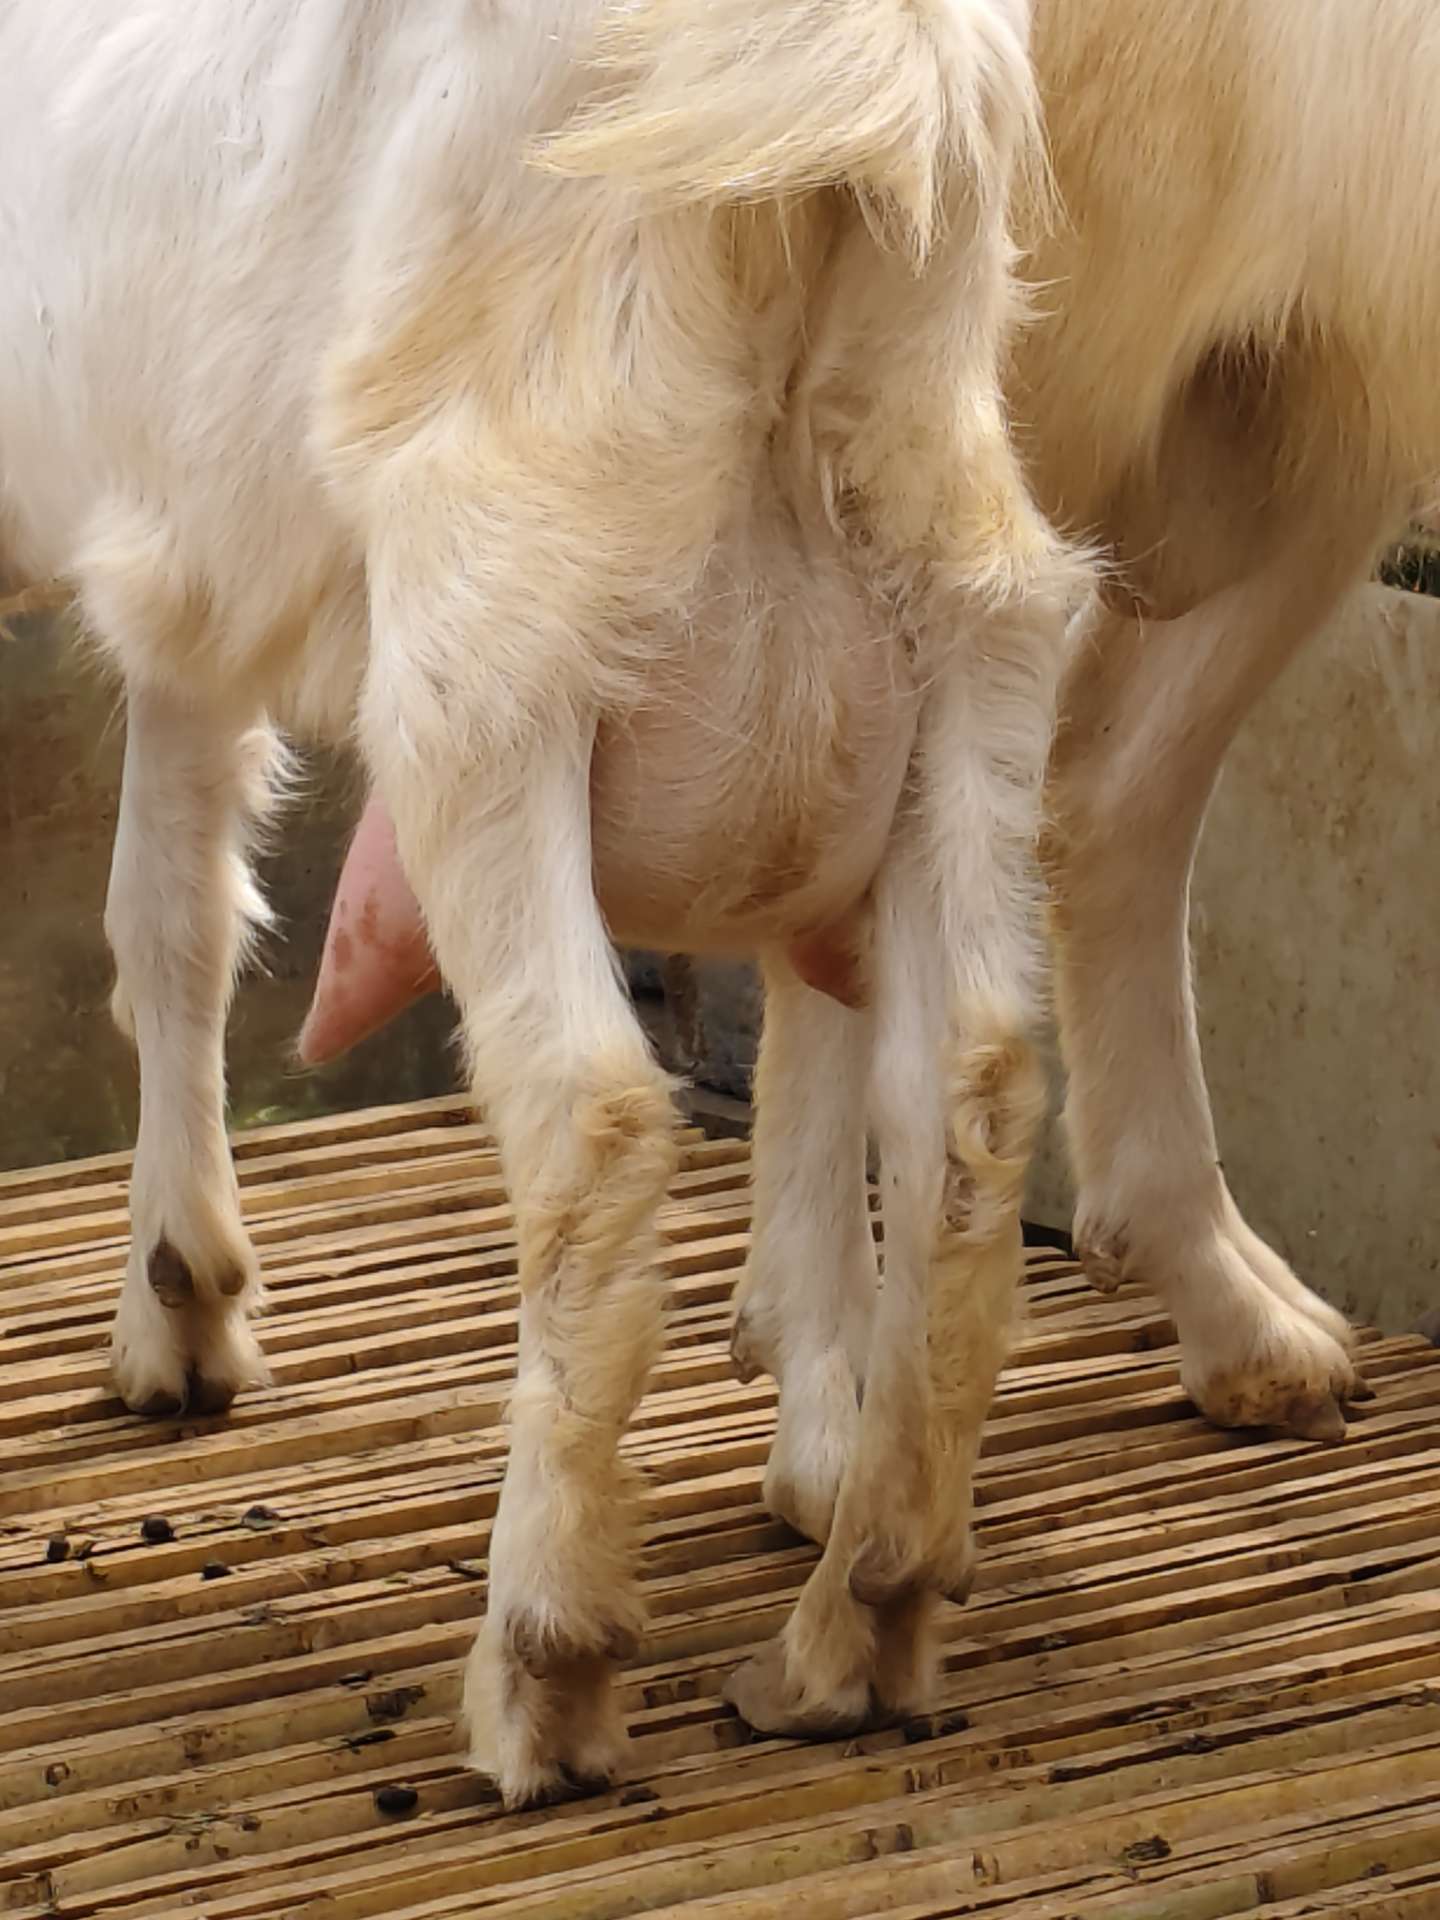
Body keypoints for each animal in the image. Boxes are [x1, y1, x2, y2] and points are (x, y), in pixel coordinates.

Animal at [0, 0, 1079, 1805]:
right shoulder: (195, 578)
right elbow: (175, 908)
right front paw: (181, 1298)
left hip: (498, 645)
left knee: (593, 1120)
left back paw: (549, 1662)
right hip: (972, 633)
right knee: (970, 1102)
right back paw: (856, 1628)